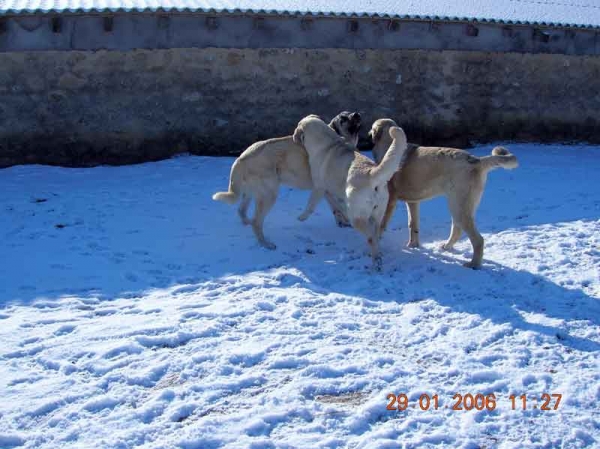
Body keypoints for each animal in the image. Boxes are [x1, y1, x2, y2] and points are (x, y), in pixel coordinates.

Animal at [212, 109, 360, 248]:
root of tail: (241, 158)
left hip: (251, 193)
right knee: (256, 222)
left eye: (348, 113)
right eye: (343, 118)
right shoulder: (323, 188)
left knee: (241, 211)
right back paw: (265, 244)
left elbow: (336, 207)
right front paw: (344, 220)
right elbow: (337, 206)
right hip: (268, 195)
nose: (357, 114)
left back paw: (247, 224)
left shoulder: (325, 190)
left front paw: (342, 221)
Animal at [292, 115, 408, 270]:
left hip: (357, 218)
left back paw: (376, 262)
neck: (328, 143)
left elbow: (311, 205)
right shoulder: (329, 190)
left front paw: (301, 217)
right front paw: (340, 217)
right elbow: (335, 205)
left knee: (370, 237)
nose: (292, 135)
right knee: (376, 234)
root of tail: (372, 173)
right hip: (377, 215)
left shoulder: (319, 187)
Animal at [368, 117, 516, 268]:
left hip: (458, 207)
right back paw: (447, 247)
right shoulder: (413, 202)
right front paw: (413, 245)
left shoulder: (390, 201)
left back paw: (473, 264)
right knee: (457, 230)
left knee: (478, 240)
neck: (389, 144)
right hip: (459, 206)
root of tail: (477, 161)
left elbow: (381, 225)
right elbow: (413, 225)